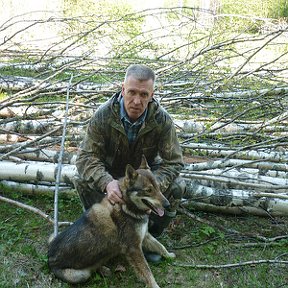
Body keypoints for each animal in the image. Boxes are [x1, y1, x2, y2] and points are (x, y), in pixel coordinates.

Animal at [47, 158, 176, 288]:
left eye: (158, 187)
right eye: (148, 190)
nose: (167, 205)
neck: (127, 205)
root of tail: (49, 258)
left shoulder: (145, 236)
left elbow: (160, 246)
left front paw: (169, 255)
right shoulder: (134, 248)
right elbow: (147, 271)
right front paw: (154, 285)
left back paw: (104, 269)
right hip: (80, 275)